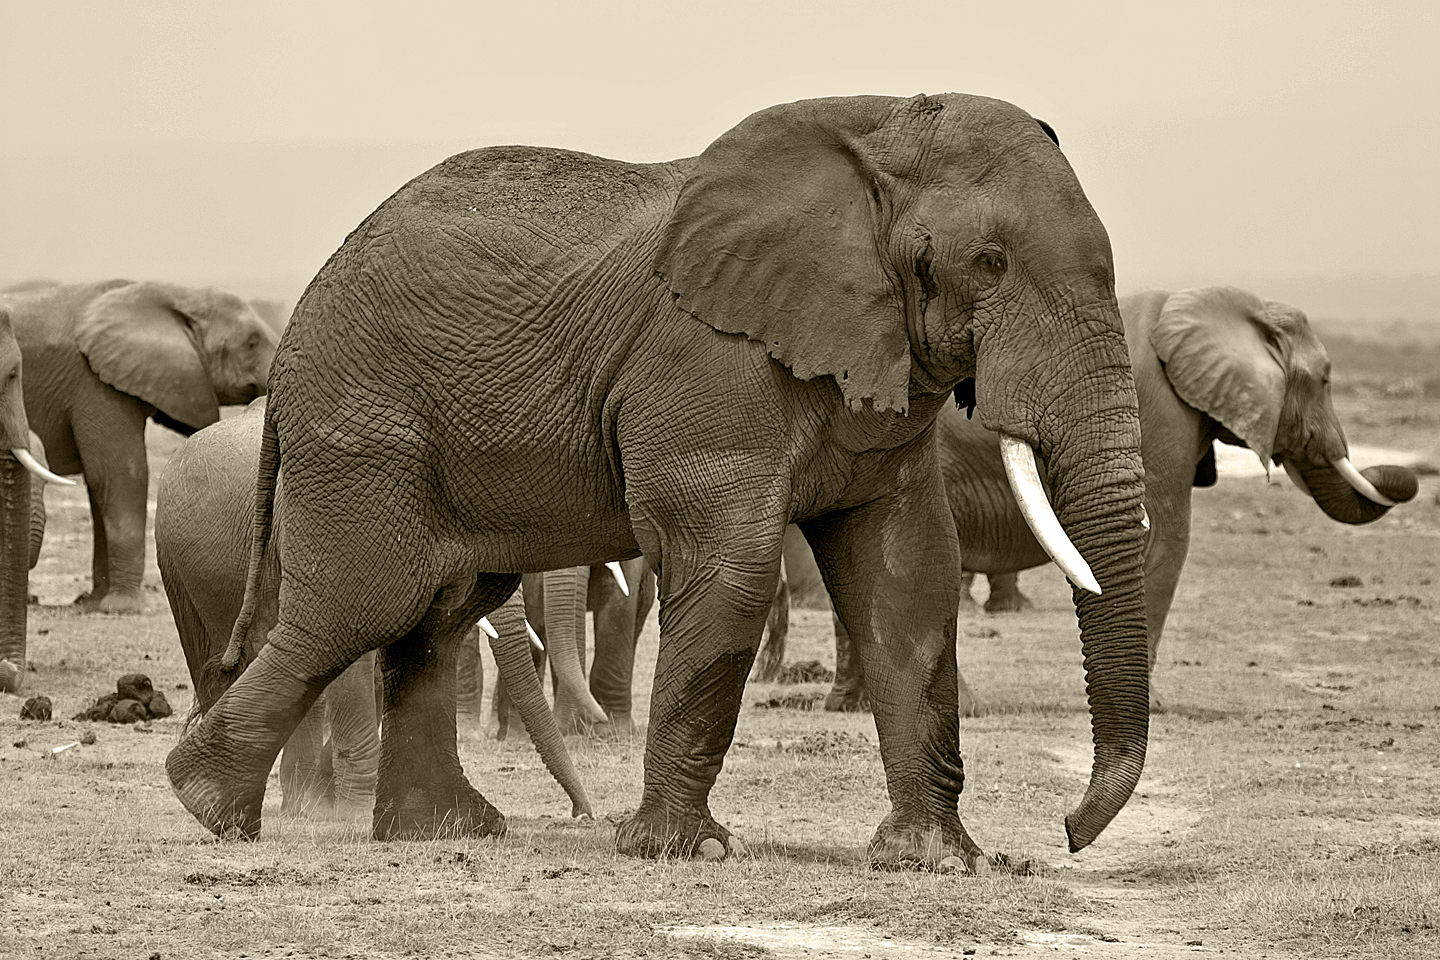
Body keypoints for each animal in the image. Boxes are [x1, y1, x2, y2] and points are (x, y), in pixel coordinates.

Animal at [0, 276, 277, 616]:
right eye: (252, 342)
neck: (169, 292)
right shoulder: (93, 382)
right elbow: (120, 473)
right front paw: (122, 607)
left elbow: (102, 483)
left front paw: (94, 603)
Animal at [160, 397, 599, 829]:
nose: (583, 815)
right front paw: (354, 814)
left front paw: (332, 805)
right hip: (181, 566)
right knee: (221, 666)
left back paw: (296, 805)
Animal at [794, 284, 1422, 713]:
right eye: (1325, 379)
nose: (1408, 477)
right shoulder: (1163, 414)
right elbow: (1166, 536)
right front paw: (1156, 708)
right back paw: (963, 707)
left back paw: (850, 707)